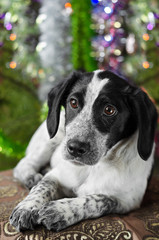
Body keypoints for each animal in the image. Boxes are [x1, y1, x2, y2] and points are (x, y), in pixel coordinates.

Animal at [9, 70, 158, 232]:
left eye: (109, 110)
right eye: (73, 102)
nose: (75, 148)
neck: (94, 167)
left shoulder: (128, 200)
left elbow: (97, 200)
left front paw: (61, 210)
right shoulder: (56, 176)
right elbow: (43, 186)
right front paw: (27, 206)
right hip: (52, 138)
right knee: (24, 163)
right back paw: (31, 176)